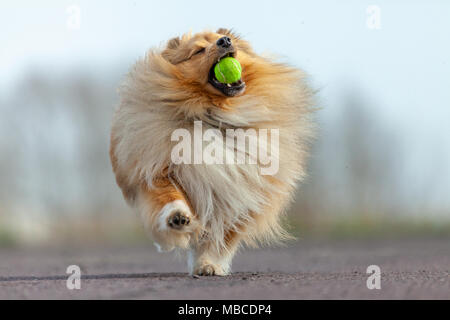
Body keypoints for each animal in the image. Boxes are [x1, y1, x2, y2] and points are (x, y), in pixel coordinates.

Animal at [110, 28, 312, 276]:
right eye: (198, 51)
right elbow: (168, 197)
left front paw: (209, 265)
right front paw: (177, 217)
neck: (216, 114)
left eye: (225, 39)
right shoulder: (158, 169)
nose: (225, 41)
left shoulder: (240, 191)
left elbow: (222, 238)